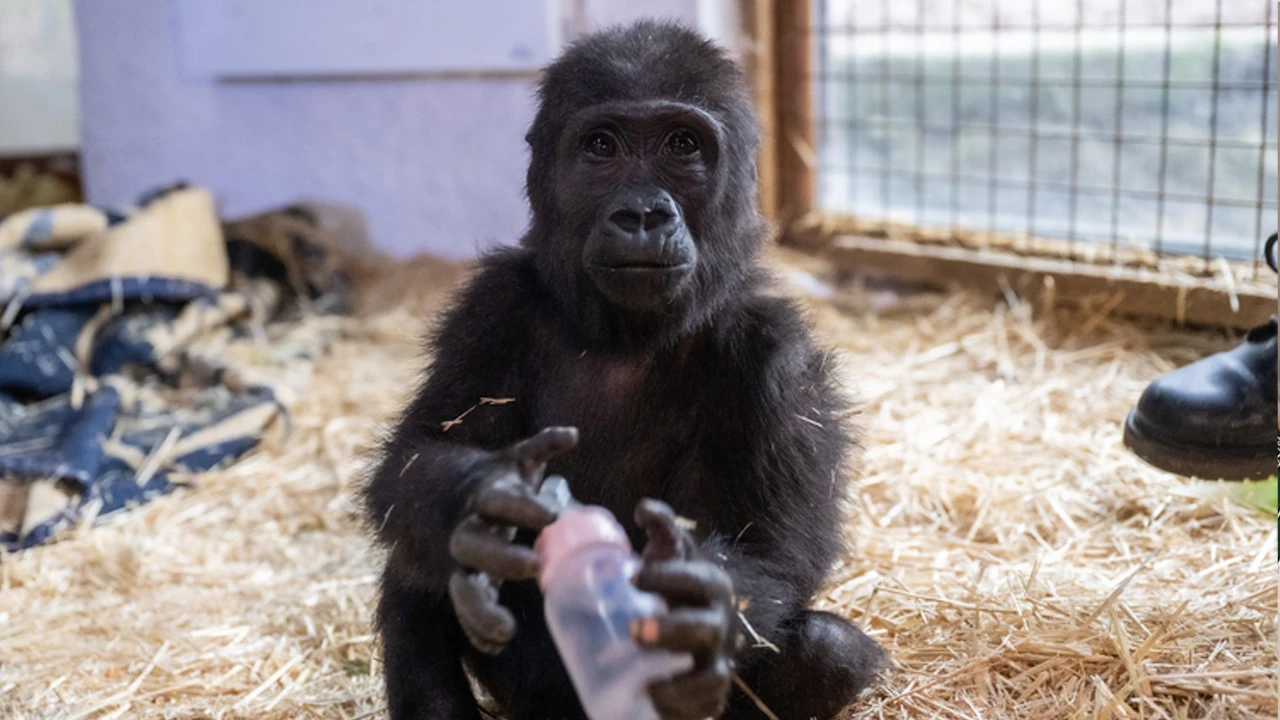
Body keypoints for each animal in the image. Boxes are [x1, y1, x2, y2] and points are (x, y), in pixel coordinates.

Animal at [366, 19, 885, 712]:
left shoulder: (782, 359)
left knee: (828, 651)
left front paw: (702, 606)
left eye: (682, 144)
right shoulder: (489, 309)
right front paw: (483, 503)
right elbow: (416, 457)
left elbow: (780, 552)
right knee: (417, 572)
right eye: (602, 146)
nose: (641, 214)